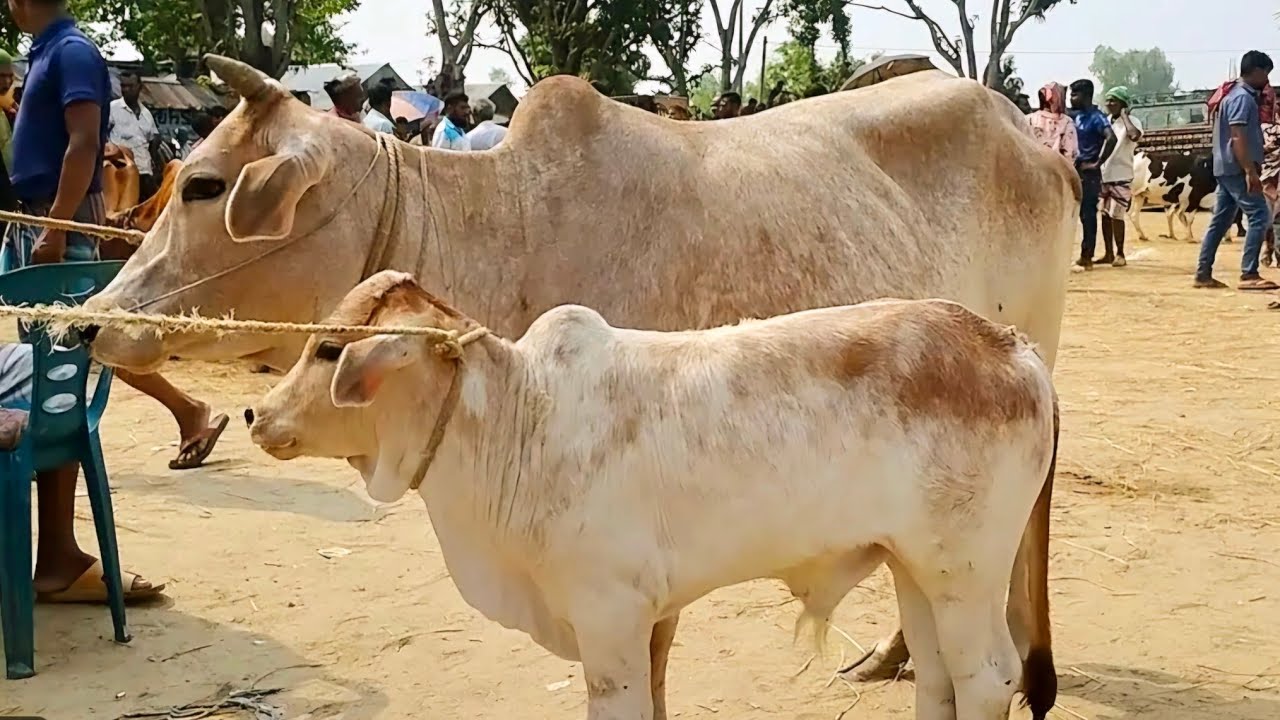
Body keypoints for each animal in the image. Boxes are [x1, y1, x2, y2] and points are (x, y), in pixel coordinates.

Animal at [247, 271, 1061, 720]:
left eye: (330, 349)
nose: (256, 415)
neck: (519, 418)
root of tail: (1011, 347)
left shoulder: (610, 619)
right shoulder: (654, 621)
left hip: (968, 573)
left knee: (988, 680)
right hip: (916, 568)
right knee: (939, 678)